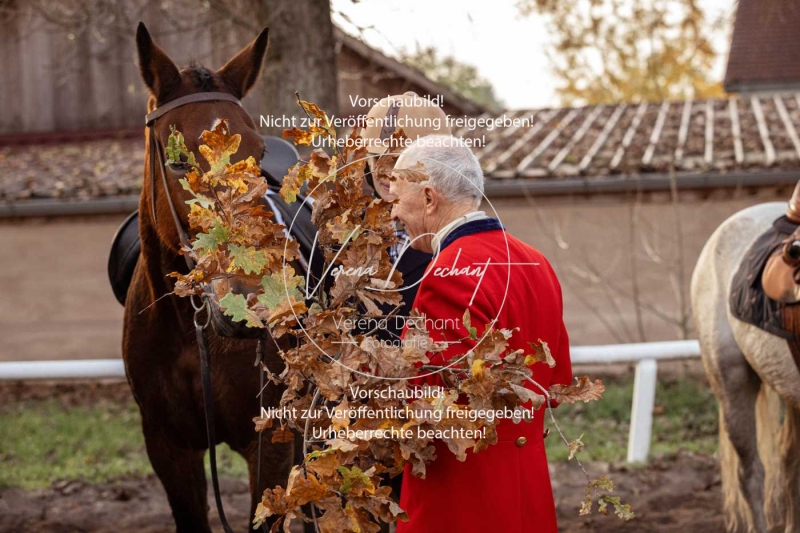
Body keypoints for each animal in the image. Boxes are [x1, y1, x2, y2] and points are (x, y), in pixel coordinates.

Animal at [122, 22, 290, 528]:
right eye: (178, 159)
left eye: (259, 153)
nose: (253, 303)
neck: (189, 332)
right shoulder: (169, 449)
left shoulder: (269, 443)